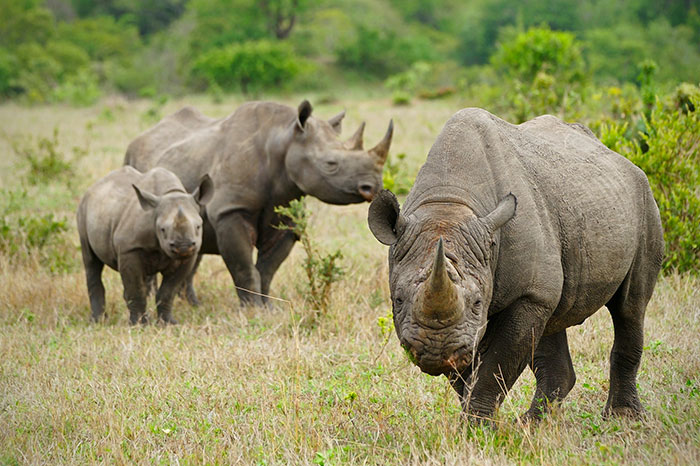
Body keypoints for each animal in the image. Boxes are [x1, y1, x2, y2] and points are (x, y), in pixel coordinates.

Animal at [76, 167, 212, 324]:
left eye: (199, 226)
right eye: (162, 229)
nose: (183, 246)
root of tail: (94, 186)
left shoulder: (188, 257)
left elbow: (168, 291)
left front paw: (168, 323)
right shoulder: (129, 249)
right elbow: (137, 290)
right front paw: (139, 325)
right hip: (83, 210)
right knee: (91, 261)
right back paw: (98, 321)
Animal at [123, 100, 392, 308]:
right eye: (330, 164)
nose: (372, 186)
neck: (282, 140)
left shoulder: (288, 216)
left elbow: (267, 269)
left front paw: (268, 307)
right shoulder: (230, 210)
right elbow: (243, 266)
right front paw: (251, 309)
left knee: (193, 248)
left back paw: (193, 305)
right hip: (135, 164)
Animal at [370, 108, 664, 422]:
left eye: (477, 303)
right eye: (398, 299)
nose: (436, 351)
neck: (449, 204)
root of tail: (620, 157)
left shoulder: (524, 296)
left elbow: (495, 367)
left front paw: (477, 427)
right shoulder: (471, 320)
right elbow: (469, 373)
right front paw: (475, 422)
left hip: (643, 200)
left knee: (630, 307)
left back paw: (622, 417)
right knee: (552, 319)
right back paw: (533, 423)